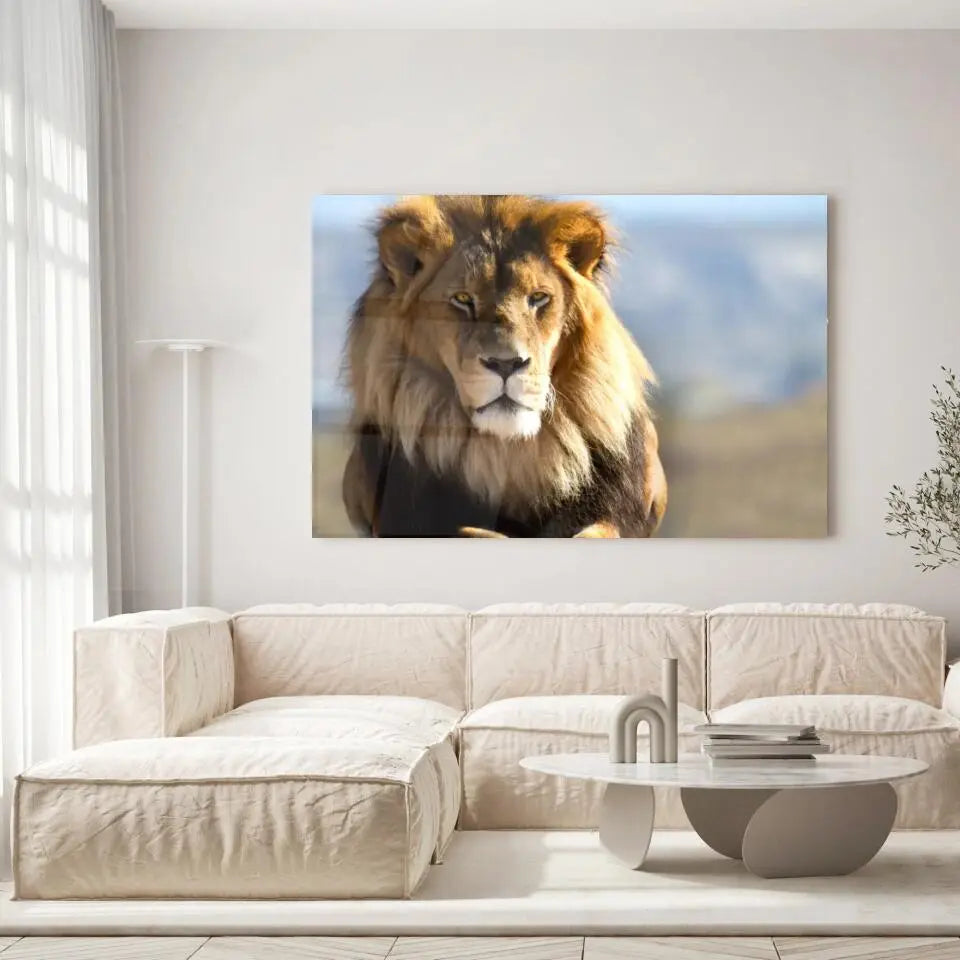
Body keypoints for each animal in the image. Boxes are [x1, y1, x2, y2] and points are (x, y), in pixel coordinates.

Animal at [341, 194, 667, 538]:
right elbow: (467, 530)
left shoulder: (620, 508)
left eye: (538, 298)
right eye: (462, 299)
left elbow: (598, 531)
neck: (507, 452)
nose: (506, 363)